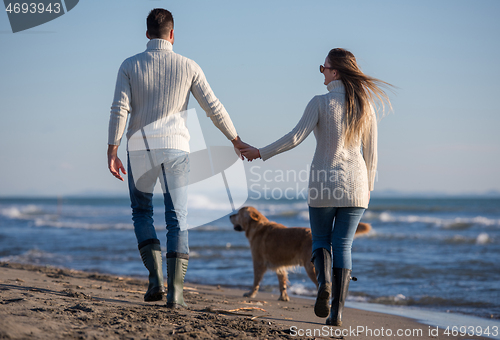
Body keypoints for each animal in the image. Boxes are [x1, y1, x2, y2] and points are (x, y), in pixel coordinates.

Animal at [230, 206, 372, 302]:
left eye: (238, 213)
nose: (230, 216)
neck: (257, 226)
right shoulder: (280, 267)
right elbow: (282, 283)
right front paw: (283, 297)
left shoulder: (258, 262)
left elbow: (256, 282)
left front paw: (250, 294)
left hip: (310, 267)